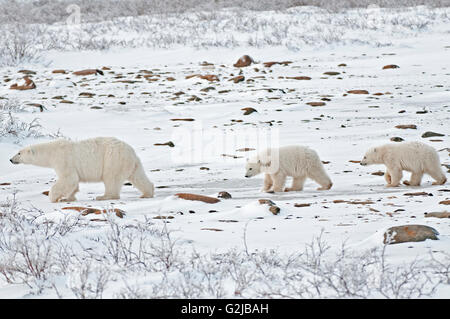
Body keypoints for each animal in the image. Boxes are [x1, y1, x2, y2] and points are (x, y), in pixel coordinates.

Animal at [9, 138, 155, 202]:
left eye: (19, 153)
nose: (10, 159)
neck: (52, 151)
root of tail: (131, 152)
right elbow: (73, 182)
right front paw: (69, 198)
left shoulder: (63, 160)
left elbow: (68, 178)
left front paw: (54, 197)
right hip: (131, 163)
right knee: (138, 176)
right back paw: (147, 193)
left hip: (112, 159)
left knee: (111, 178)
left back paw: (103, 196)